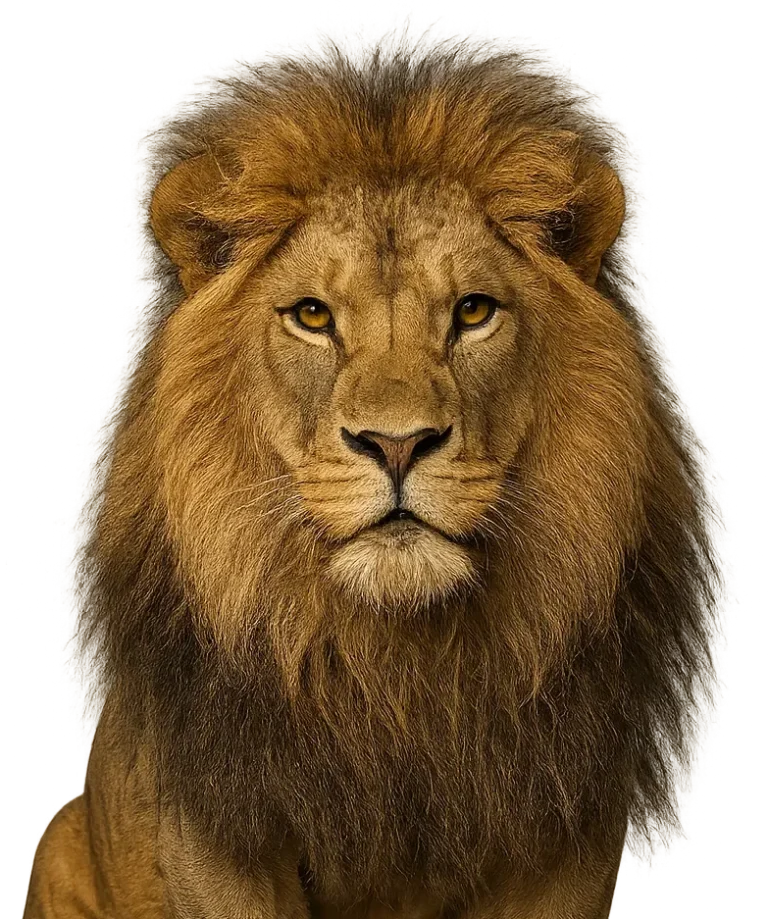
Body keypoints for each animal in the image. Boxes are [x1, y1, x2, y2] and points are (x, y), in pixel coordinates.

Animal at [24, 48, 715, 919]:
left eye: (474, 312)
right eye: (313, 316)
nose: (396, 443)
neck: (394, 669)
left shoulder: (569, 830)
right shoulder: (216, 835)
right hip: (60, 842)